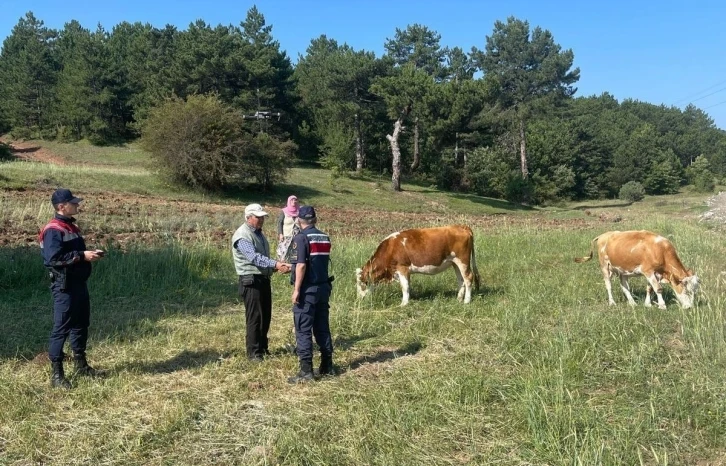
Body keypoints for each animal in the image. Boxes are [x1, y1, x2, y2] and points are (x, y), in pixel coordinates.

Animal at [576, 230, 704, 310]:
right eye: (686, 291)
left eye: (695, 292)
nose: (689, 307)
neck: (661, 250)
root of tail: (604, 235)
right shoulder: (648, 271)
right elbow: (658, 288)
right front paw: (662, 305)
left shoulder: (653, 273)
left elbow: (650, 288)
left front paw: (647, 304)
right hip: (605, 266)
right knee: (609, 286)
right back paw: (612, 302)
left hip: (622, 270)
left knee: (624, 286)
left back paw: (632, 302)